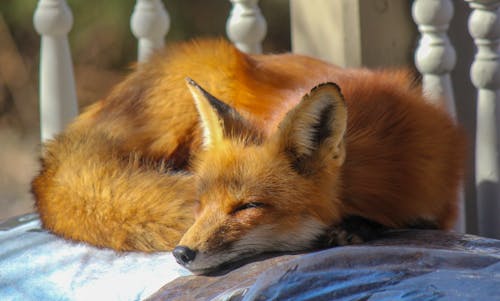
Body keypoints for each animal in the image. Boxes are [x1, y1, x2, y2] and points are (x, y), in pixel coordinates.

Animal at [33, 38, 466, 274]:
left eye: (247, 207)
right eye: (201, 202)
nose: (181, 253)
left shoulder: (437, 202)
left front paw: (358, 228)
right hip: (212, 66)